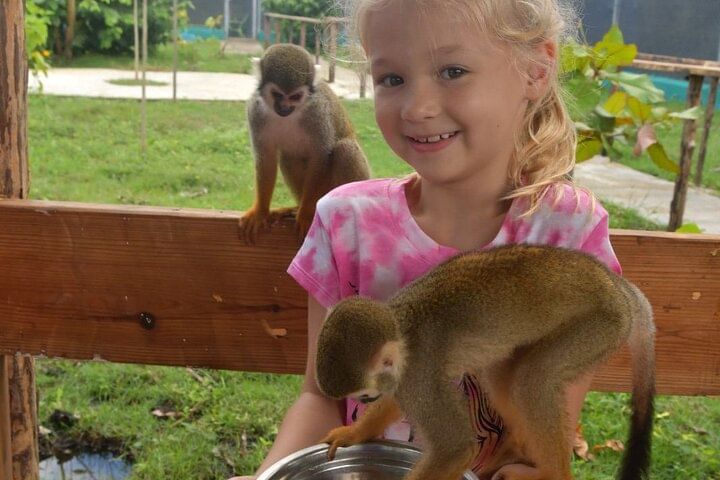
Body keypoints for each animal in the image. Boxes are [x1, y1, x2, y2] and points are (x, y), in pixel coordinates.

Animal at [239, 43, 371, 243]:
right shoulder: (255, 111)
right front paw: (260, 212)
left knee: (345, 150)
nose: (284, 108)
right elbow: (266, 160)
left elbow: (320, 156)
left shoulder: (317, 112)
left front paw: (307, 214)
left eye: (295, 96)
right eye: (277, 94)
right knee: (288, 157)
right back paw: (295, 207)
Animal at [315, 245, 655, 480]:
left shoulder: (418, 373)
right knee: (502, 373)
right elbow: (394, 403)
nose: (368, 400)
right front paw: (354, 433)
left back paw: (551, 472)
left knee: (533, 379)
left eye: (363, 395)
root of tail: (616, 285)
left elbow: (456, 449)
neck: (403, 328)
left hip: (599, 325)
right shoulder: (406, 377)